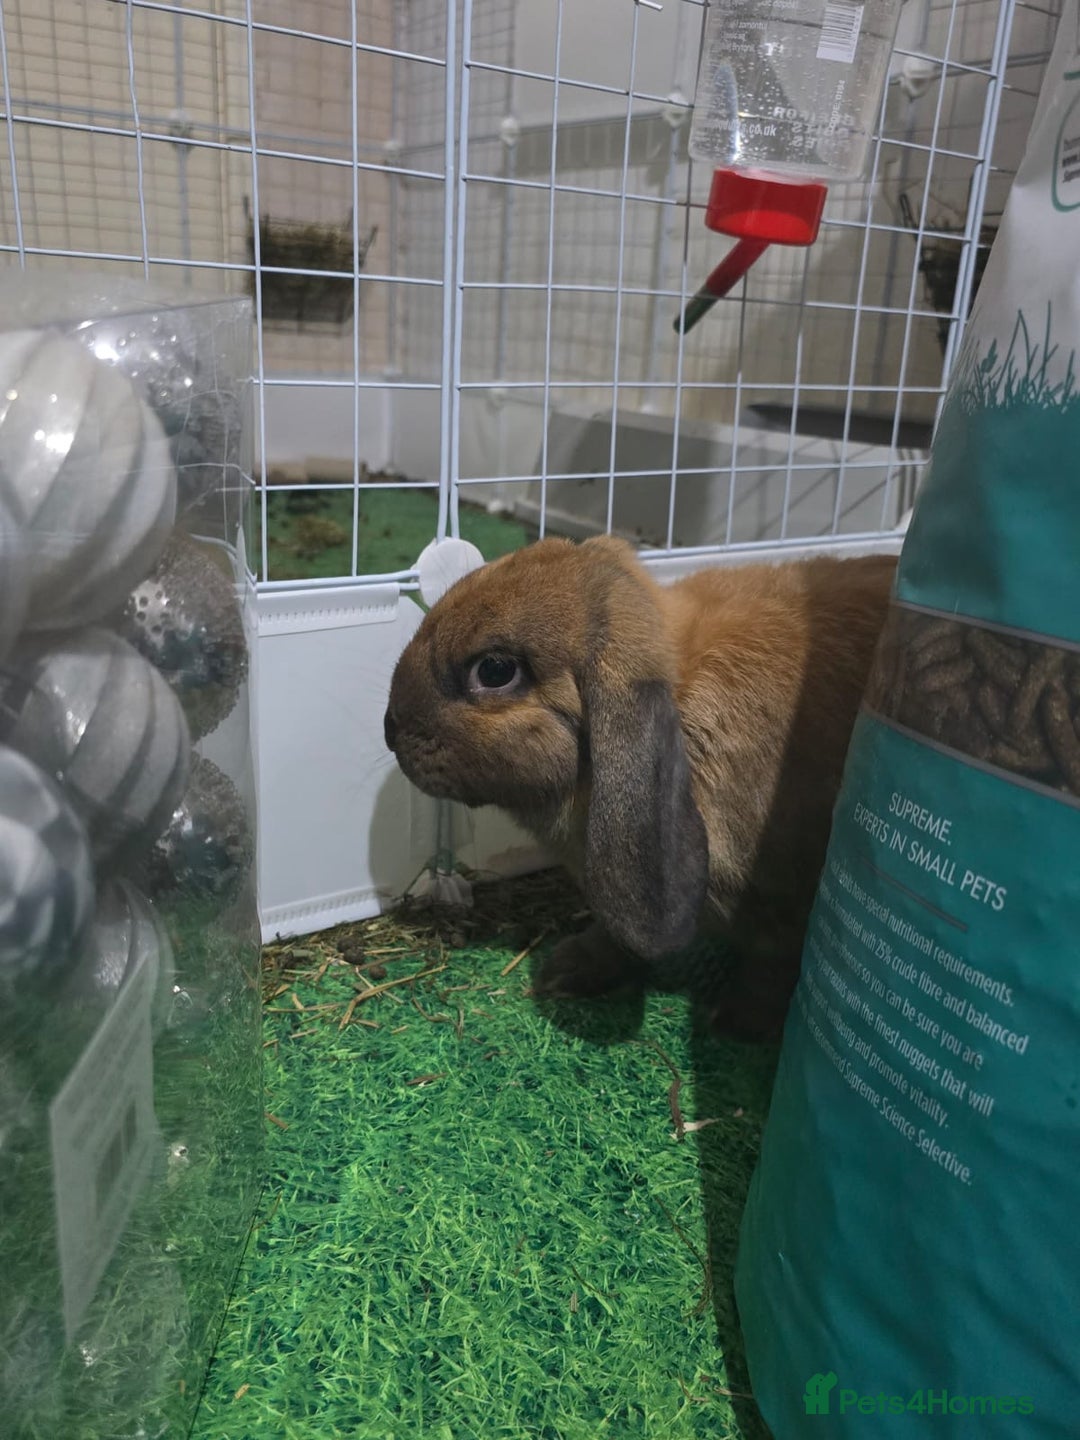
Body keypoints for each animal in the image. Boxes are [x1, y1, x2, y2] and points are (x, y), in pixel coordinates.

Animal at [383, 536, 897, 1039]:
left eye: (494, 671)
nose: (390, 729)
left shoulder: (787, 909)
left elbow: (772, 968)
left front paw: (737, 1024)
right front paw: (566, 970)